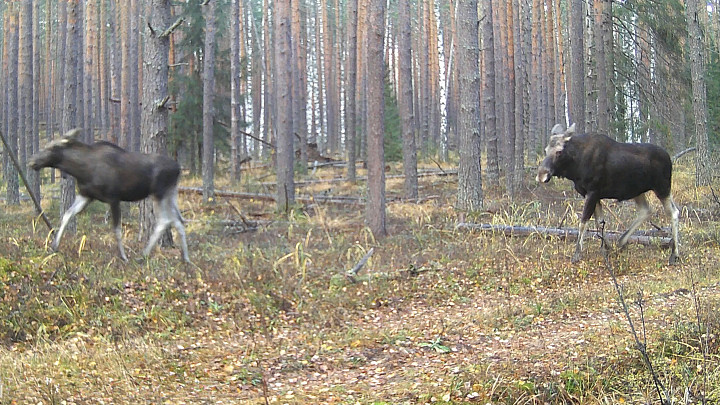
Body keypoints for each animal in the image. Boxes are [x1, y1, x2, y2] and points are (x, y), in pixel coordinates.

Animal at [29, 129, 190, 262]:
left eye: (52, 147)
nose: (32, 161)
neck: (81, 170)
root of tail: (178, 168)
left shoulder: (113, 198)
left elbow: (117, 229)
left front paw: (124, 256)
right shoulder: (85, 195)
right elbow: (67, 215)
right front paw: (54, 246)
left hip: (159, 193)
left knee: (165, 221)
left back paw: (143, 255)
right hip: (170, 194)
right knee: (177, 221)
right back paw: (185, 258)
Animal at [536, 121, 680, 264]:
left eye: (559, 151)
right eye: (546, 150)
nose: (541, 175)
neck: (575, 166)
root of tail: (669, 158)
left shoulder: (592, 191)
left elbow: (583, 222)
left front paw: (577, 254)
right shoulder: (594, 195)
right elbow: (599, 221)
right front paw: (607, 247)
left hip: (662, 187)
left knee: (674, 212)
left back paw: (675, 254)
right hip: (638, 191)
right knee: (646, 210)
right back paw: (621, 241)